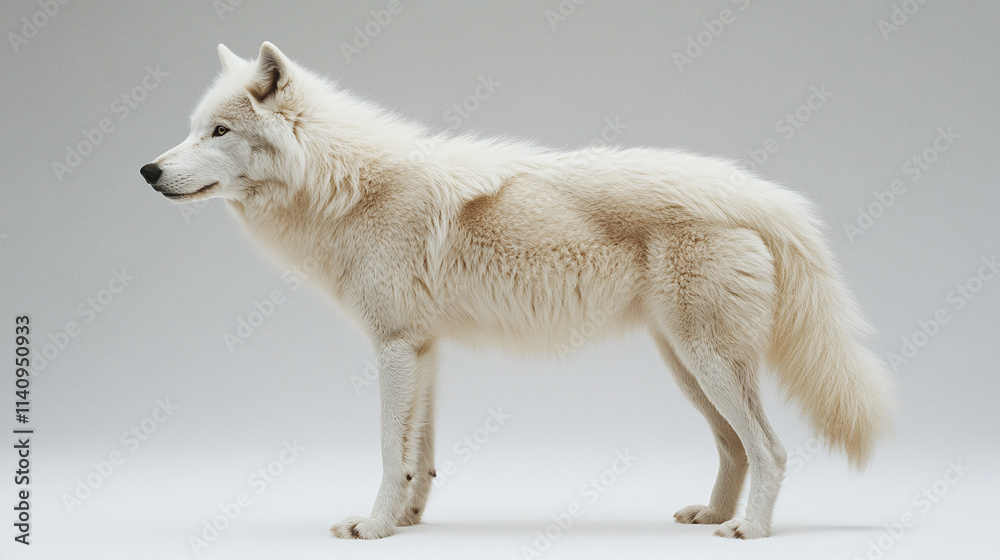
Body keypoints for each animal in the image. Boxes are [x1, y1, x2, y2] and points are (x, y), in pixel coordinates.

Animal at [140, 42, 896, 540]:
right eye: (192, 129)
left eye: (219, 130)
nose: (147, 170)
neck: (346, 185)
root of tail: (757, 193)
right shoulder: (425, 352)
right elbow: (420, 457)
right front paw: (408, 523)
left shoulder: (394, 348)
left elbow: (388, 452)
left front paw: (374, 527)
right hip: (687, 365)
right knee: (736, 447)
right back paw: (713, 514)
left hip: (706, 360)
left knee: (769, 448)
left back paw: (750, 533)